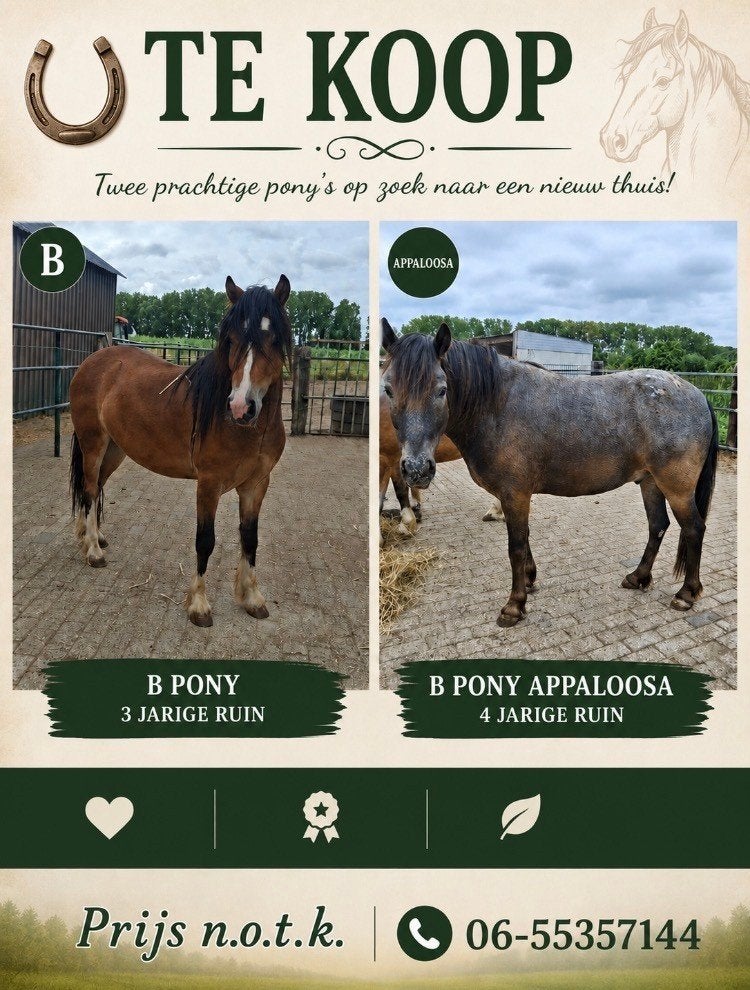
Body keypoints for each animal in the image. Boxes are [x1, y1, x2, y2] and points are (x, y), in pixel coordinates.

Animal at [69, 275, 292, 628]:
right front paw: (199, 605)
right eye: (231, 339)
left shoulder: (256, 485)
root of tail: (92, 362)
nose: (241, 407)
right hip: (93, 443)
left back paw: (92, 535)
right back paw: (93, 551)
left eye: (273, 339)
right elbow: (205, 541)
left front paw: (253, 598)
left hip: (115, 449)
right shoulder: (209, 484)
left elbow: (250, 538)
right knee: (89, 489)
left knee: (95, 488)